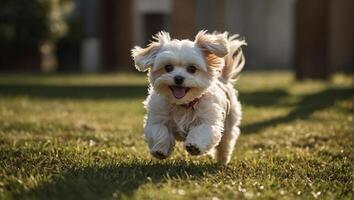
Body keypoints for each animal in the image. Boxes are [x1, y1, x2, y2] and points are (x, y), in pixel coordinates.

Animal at [131, 30, 246, 165]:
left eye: (192, 69)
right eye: (168, 67)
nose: (178, 78)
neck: (183, 104)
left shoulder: (208, 120)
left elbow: (202, 130)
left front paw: (194, 147)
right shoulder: (156, 118)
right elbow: (159, 130)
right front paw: (160, 149)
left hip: (230, 122)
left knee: (225, 143)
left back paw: (222, 161)